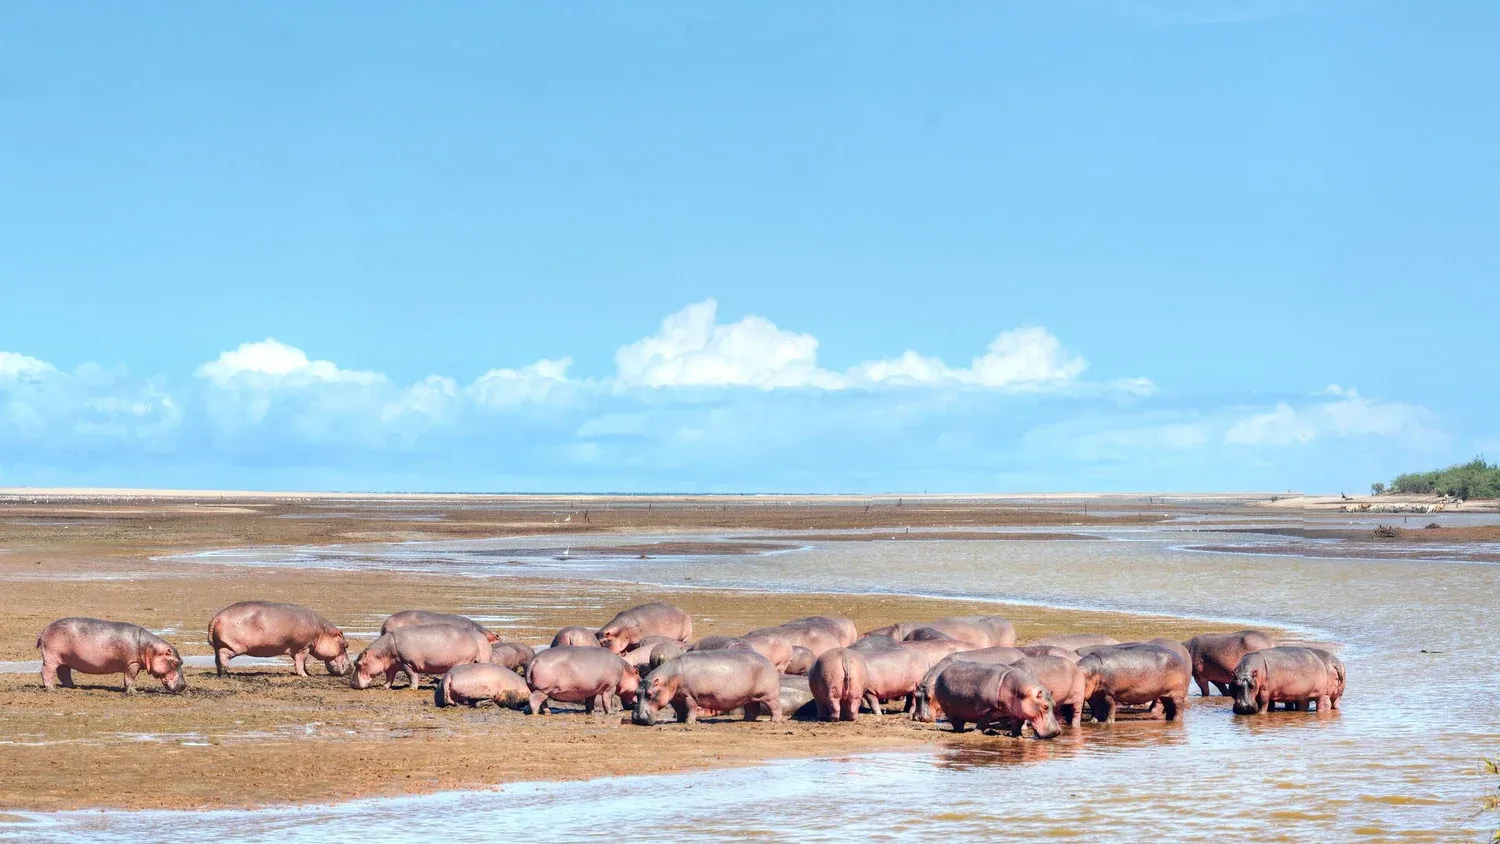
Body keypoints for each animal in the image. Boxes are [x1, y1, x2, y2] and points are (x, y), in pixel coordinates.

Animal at [37, 618, 185, 694]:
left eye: (182, 661)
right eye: (176, 662)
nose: (184, 685)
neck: (149, 648)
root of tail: (43, 630)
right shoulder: (132, 663)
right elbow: (130, 678)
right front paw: (133, 692)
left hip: (65, 659)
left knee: (64, 673)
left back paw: (73, 687)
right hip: (51, 658)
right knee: (46, 671)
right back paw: (51, 689)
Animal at [208, 601, 351, 677]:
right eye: (346, 645)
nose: (351, 667)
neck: (322, 632)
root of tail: (217, 617)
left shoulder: (300, 649)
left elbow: (302, 663)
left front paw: (308, 673)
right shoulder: (303, 647)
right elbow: (301, 662)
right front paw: (305, 676)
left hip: (218, 646)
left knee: (217, 659)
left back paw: (220, 673)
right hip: (231, 646)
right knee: (223, 656)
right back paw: (227, 674)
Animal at [352, 624, 492, 690]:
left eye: (358, 664)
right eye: (354, 662)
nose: (352, 683)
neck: (380, 653)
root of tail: (481, 638)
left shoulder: (407, 663)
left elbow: (412, 676)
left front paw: (411, 688)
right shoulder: (392, 665)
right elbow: (389, 677)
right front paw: (384, 687)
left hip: (466, 661)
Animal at [632, 650, 782, 725]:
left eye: (650, 694)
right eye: (636, 692)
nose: (638, 718)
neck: (669, 677)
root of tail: (768, 661)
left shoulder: (689, 696)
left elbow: (691, 708)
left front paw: (689, 722)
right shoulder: (675, 697)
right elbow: (679, 709)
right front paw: (680, 720)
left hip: (770, 695)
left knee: (775, 707)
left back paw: (774, 721)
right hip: (748, 696)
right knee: (752, 709)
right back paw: (746, 720)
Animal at [931, 661, 1062, 738]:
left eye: (1054, 704)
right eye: (1045, 706)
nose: (1057, 731)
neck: (1020, 691)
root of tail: (942, 671)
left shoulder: (1017, 713)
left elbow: (1017, 726)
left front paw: (1019, 737)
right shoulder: (989, 708)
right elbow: (983, 722)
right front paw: (976, 733)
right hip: (949, 710)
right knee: (956, 722)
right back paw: (961, 732)